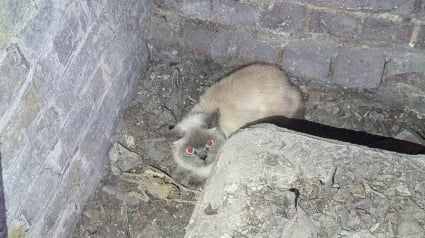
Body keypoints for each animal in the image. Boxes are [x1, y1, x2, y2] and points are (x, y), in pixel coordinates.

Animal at [167, 63, 304, 186]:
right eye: (189, 150)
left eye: (210, 143)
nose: (203, 157)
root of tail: (288, 84)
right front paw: (179, 174)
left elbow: (197, 177)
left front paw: (187, 180)